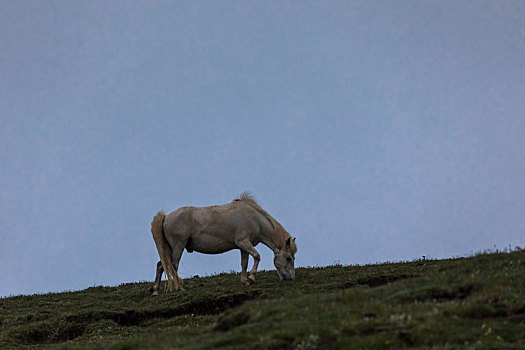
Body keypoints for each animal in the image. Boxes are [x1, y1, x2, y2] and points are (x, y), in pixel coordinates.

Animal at [149, 191, 296, 296]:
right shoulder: (243, 242)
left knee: (161, 265)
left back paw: (155, 290)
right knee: (173, 265)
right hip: (178, 246)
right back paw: (179, 287)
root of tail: (166, 217)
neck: (255, 219)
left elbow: (244, 263)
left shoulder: (243, 246)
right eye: (288, 258)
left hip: (169, 248)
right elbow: (257, 256)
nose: (291, 278)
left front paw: (245, 281)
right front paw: (252, 277)